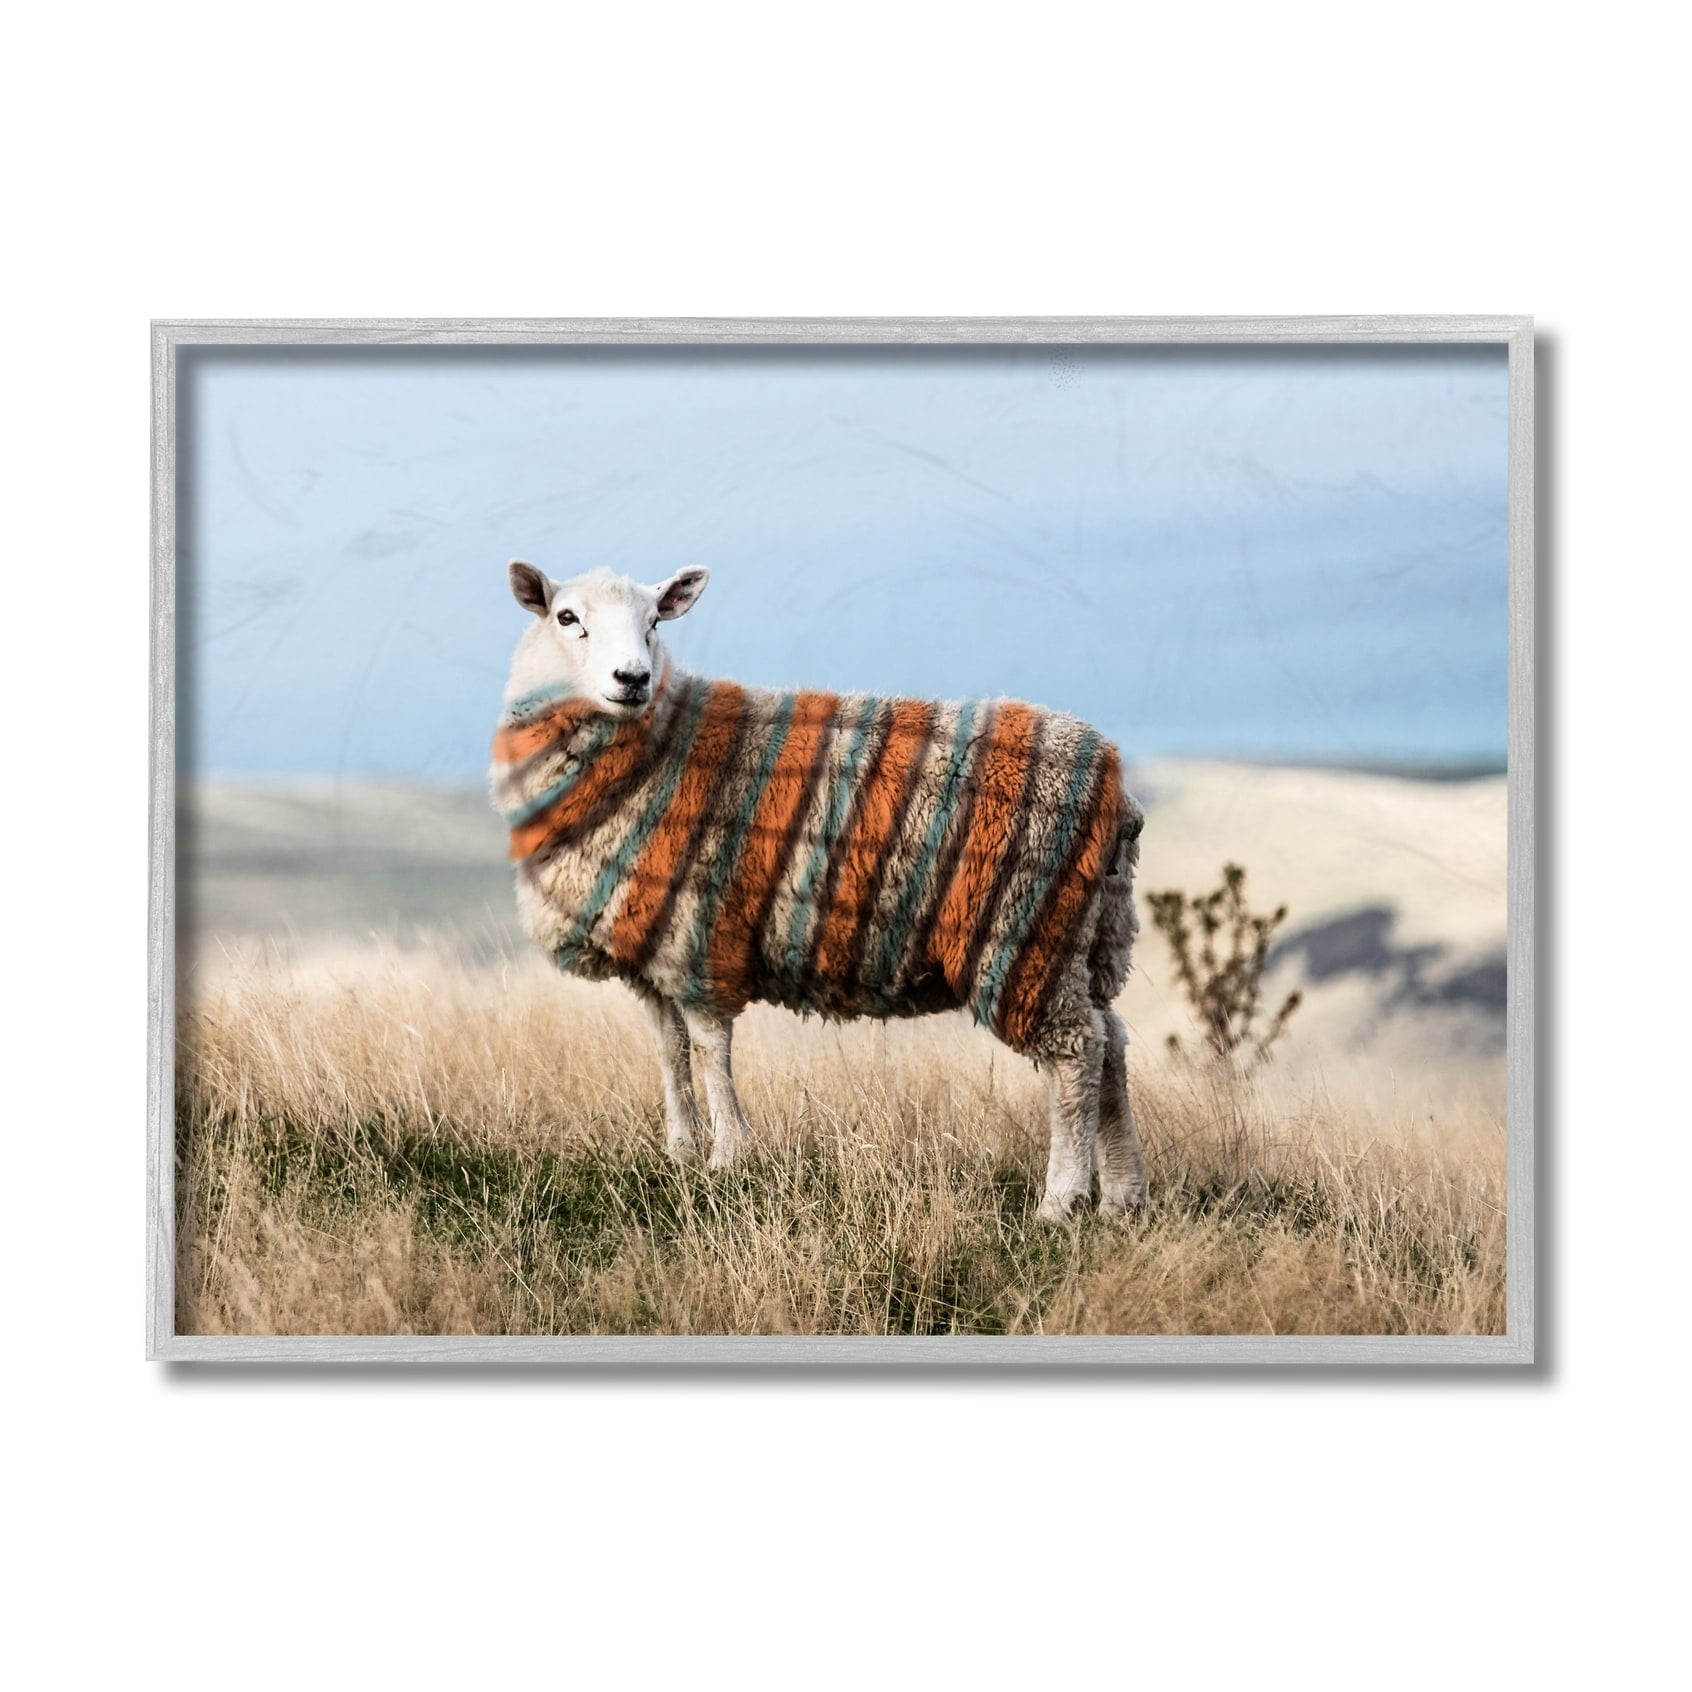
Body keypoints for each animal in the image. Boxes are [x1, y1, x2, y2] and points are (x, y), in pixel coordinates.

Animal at [490, 559, 1147, 1220]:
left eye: (654, 621)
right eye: (566, 617)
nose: (633, 678)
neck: (660, 745)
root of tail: (1114, 782)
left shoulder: (697, 935)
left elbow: (709, 1048)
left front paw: (728, 1156)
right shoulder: (649, 947)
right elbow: (670, 1051)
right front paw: (679, 1152)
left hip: (1022, 932)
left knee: (1075, 1054)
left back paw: (1061, 1200)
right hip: (1087, 935)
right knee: (1110, 1042)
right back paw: (1122, 1195)